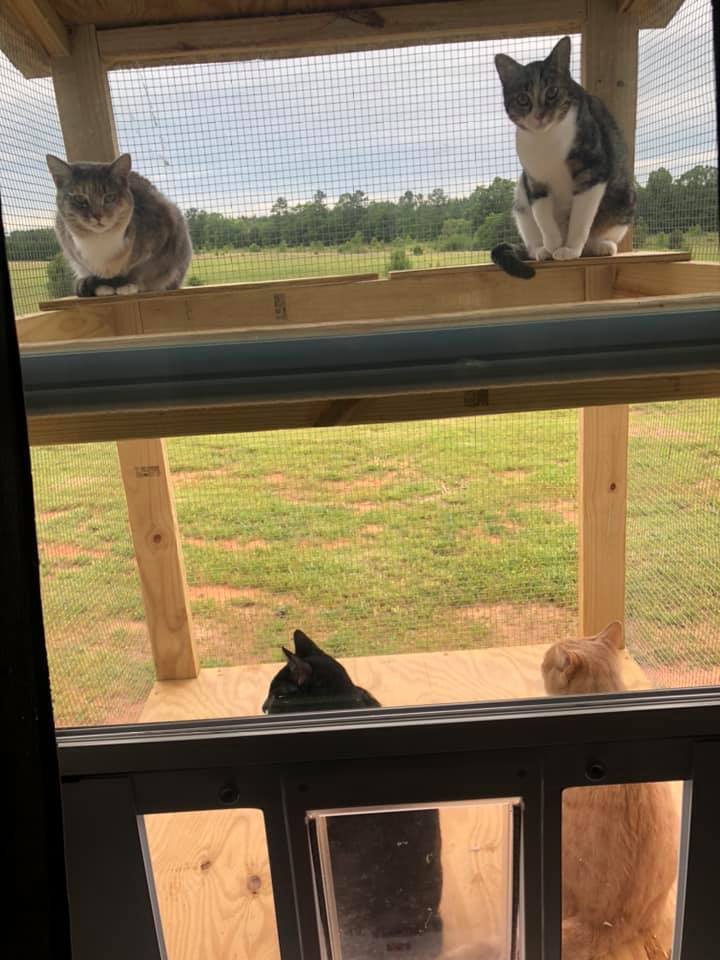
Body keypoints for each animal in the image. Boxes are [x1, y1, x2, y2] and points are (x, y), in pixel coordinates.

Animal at [44, 154, 191, 294]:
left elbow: (141, 270)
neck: (100, 241)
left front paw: (129, 285)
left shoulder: (161, 239)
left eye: (109, 197)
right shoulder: (72, 251)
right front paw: (103, 286)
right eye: (79, 198)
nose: (97, 215)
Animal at [490, 37, 636, 278]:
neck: (546, 140)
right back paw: (540, 249)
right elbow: (543, 218)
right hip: (520, 199)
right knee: (531, 233)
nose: (539, 115)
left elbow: (581, 217)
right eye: (522, 98)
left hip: (624, 196)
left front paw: (570, 249)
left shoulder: (592, 171)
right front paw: (552, 246)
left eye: (552, 92)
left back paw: (599, 246)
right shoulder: (534, 181)